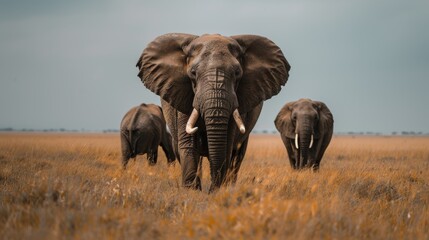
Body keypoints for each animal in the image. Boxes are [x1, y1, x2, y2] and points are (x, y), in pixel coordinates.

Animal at [136, 33, 290, 191]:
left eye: (237, 73)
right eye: (193, 73)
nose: (211, 189)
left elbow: (227, 145)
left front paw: (217, 190)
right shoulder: (182, 95)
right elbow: (188, 143)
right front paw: (192, 191)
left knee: (237, 155)